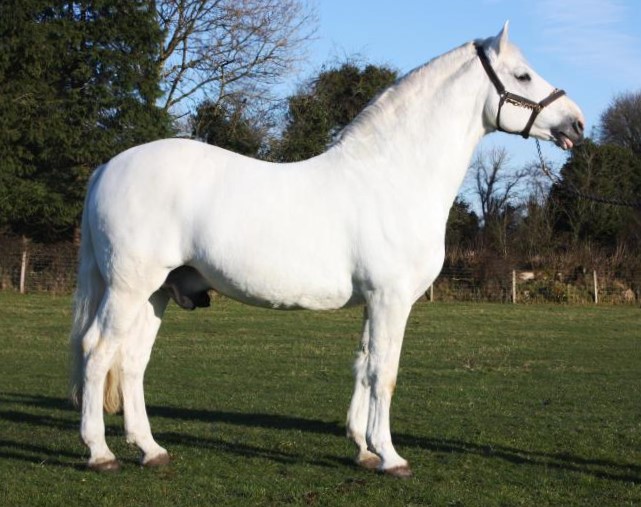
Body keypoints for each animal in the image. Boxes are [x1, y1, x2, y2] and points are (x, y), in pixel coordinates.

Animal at [70, 23, 584, 477]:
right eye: (523, 75)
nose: (577, 123)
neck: (394, 176)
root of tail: (107, 168)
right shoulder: (391, 299)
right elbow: (385, 372)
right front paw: (391, 456)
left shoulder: (374, 301)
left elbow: (363, 365)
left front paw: (363, 448)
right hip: (129, 287)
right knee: (98, 351)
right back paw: (100, 453)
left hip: (156, 292)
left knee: (132, 362)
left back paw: (151, 450)